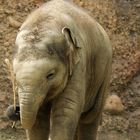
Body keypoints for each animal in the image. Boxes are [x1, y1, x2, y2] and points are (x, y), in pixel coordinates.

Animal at [12, 0, 112, 140]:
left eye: (50, 75)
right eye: (15, 76)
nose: (15, 110)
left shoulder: (79, 64)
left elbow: (66, 110)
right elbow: (39, 119)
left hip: (105, 72)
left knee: (90, 116)